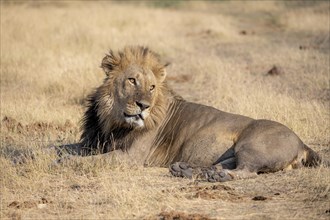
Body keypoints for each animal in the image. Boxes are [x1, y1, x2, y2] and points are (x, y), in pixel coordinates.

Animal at [60, 46, 324, 182]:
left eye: (152, 87)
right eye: (132, 80)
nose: (143, 106)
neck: (112, 120)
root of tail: (302, 143)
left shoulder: (131, 157)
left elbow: (92, 160)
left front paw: (67, 162)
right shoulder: (93, 142)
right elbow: (64, 147)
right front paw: (52, 154)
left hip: (251, 145)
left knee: (245, 172)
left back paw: (216, 177)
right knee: (224, 165)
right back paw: (188, 170)